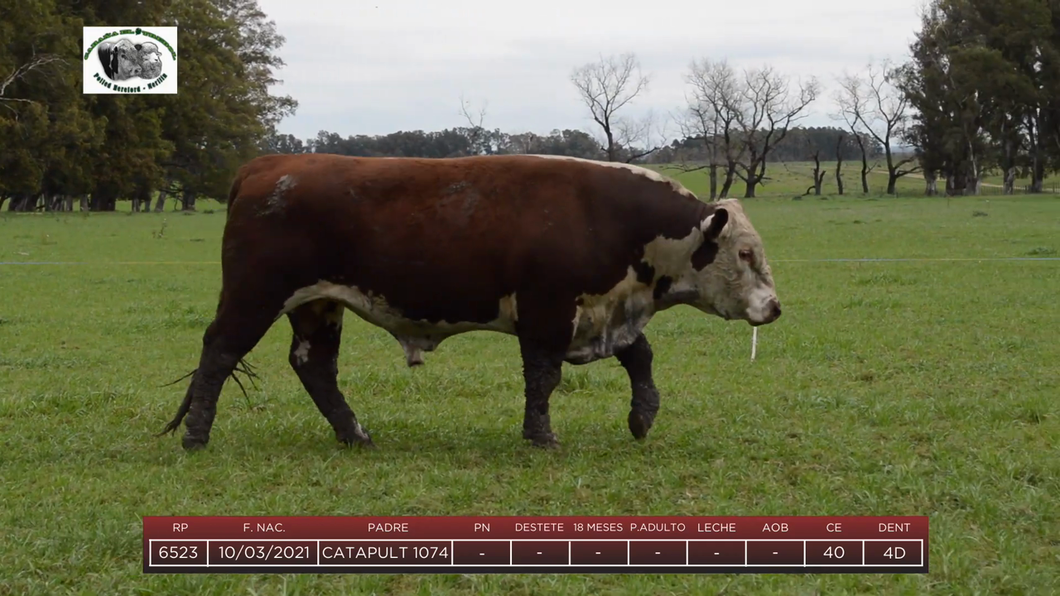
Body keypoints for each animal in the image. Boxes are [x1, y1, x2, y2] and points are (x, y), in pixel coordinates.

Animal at [158, 150, 780, 447]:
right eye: (747, 253)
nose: (774, 307)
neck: (613, 219)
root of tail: (270, 164)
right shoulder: (547, 310)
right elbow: (543, 378)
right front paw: (541, 437)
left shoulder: (602, 309)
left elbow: (640, 355)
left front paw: (642, 416)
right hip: (255, 294)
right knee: (219, 353)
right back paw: (196, 437)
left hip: (318, 305)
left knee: (314, 366)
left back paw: (354, 434)